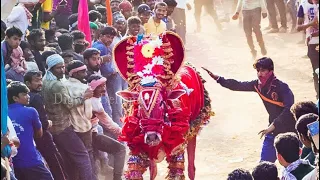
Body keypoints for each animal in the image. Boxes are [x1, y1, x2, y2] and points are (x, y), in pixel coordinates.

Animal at [114, 32, 214, 180]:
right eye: (138, 104)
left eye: (161, 102)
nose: (151, 137)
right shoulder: (138, 153)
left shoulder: (177, 150)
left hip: (194, 129)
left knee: (191, 168)